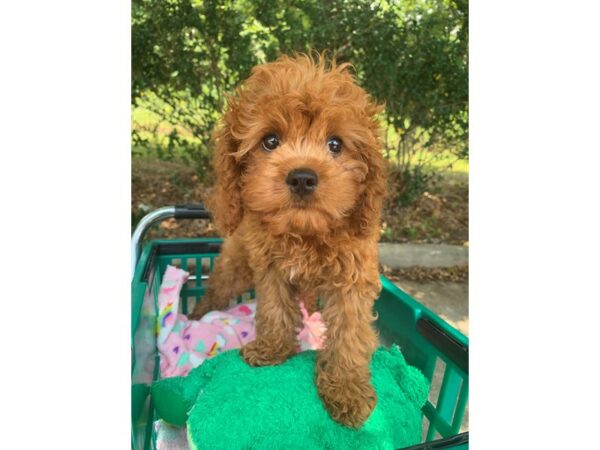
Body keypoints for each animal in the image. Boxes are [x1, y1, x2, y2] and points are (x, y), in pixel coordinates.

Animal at [192, 54, 390, 428]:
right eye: (270, 141)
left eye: (335, 144)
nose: (302, 178)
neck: (305, 232)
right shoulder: (270, 269)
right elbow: (274, 310)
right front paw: (272, 350)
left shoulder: (353, 278)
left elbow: (349, 333)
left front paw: (347, 391)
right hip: (236, 262)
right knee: (216, 290)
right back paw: (197, 316)